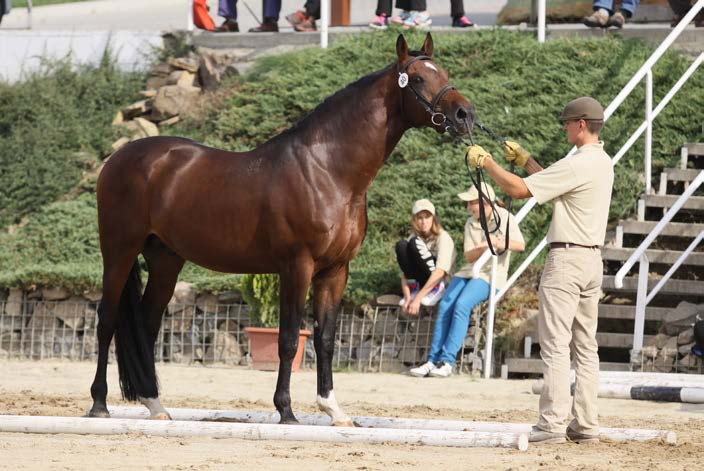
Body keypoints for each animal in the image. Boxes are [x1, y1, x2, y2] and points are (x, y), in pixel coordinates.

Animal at [88, 32, 472, 424]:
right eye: (420, 78)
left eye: (444, 72)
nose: (464, 114)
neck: (328, 170)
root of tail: (118, 158)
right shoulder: (297, 266)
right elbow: (287, 339)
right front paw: (286, 410)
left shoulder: (336, 271)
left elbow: (325, 339)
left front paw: (332, 408)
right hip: (119, 251)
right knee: (107, 320)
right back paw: (99, 403)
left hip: (166, 259)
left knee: (147, 326)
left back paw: (154, 404)